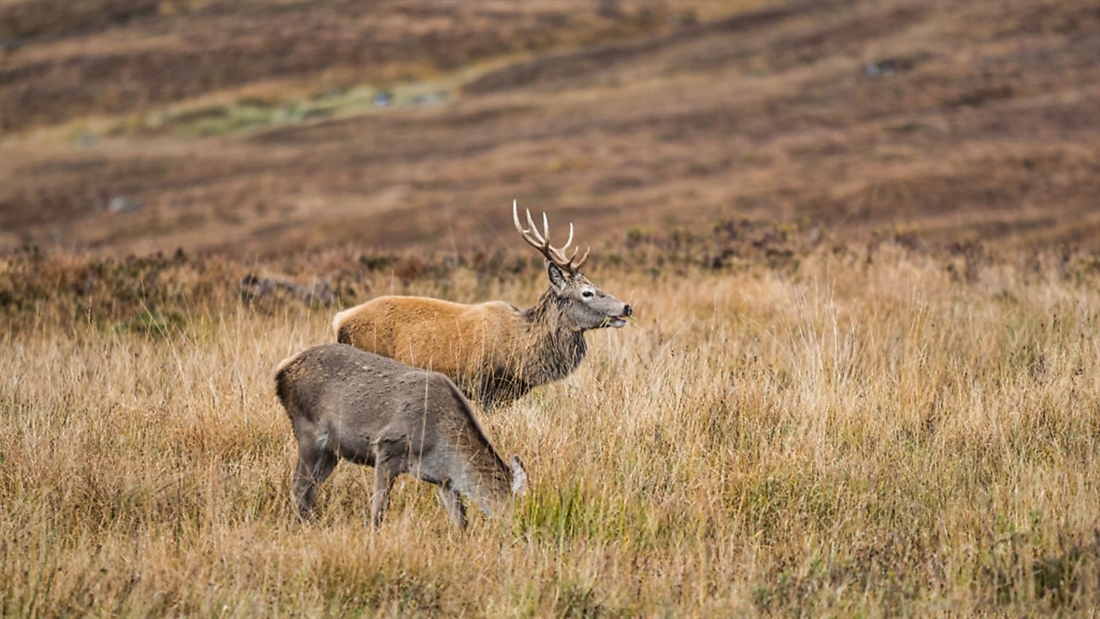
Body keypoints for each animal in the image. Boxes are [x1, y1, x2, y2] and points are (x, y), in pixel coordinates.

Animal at [277, 343, 530, 527]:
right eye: (517, 506)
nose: (521, 529)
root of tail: (281, 372)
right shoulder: (388, 447)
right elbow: (378, 511)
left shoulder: (445, 480)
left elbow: (461, 522)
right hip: (308, 432)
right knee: (299, 486)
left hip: (333, 451)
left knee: (310, 488)